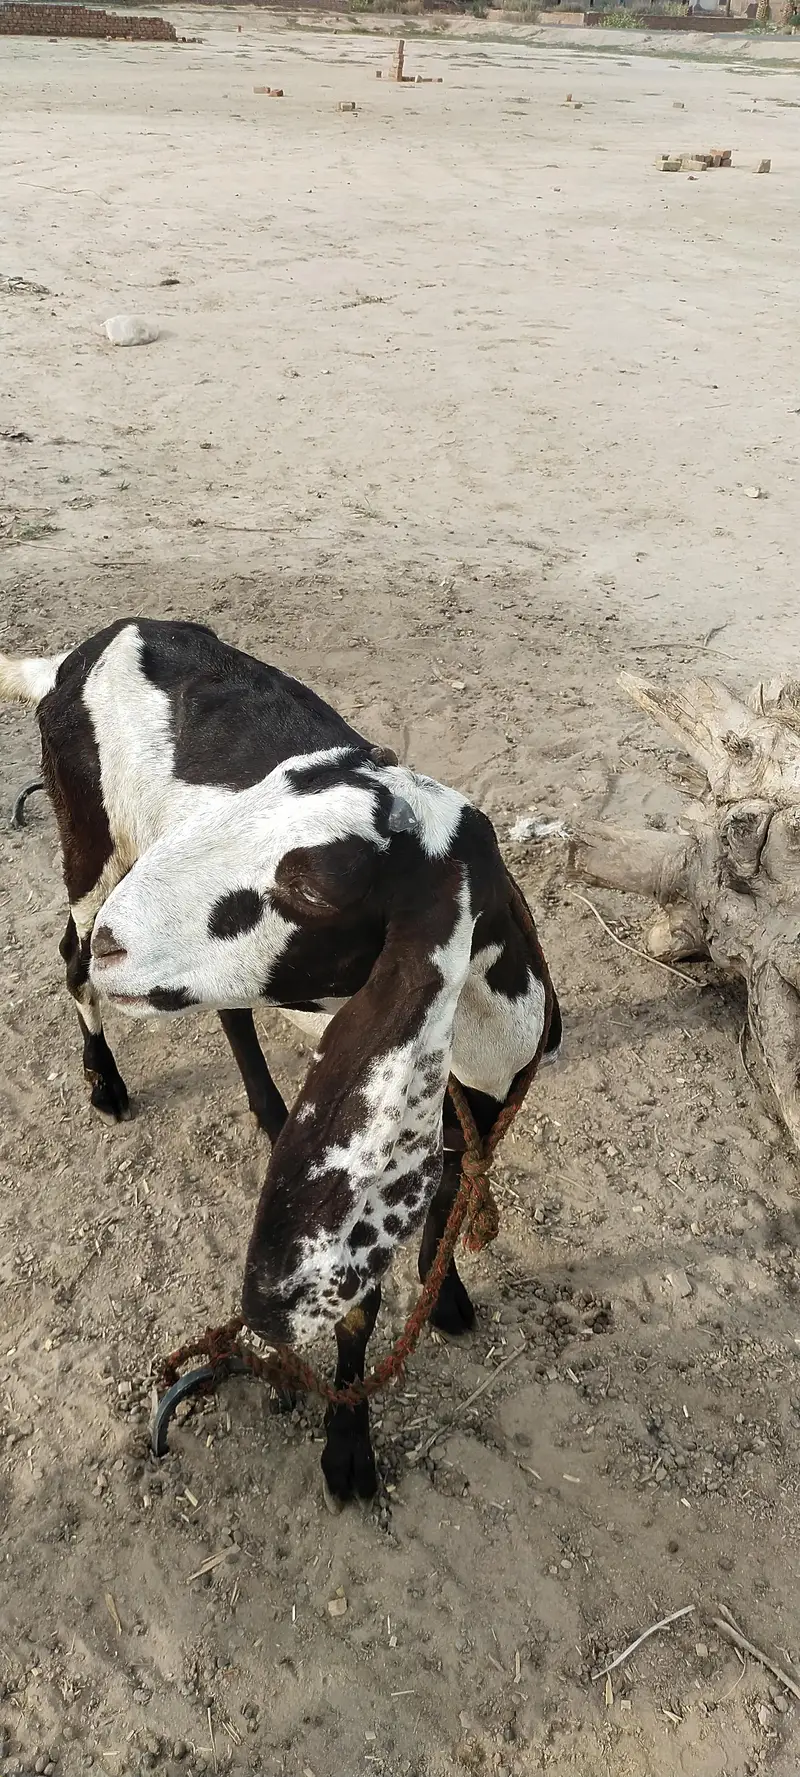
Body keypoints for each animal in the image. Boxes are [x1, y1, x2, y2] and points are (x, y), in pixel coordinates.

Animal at [1, 619, 560, 1506]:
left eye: (315, 887)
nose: (119, 941)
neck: (478, 1045)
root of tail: (73, 658)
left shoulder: (469, 1107)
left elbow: (447, 1196)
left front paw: (448, 1295)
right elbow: (358, 1301)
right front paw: (349, 1449)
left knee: (219, 1005)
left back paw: (260, 1103)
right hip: (87, 834)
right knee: (67, 950)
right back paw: (106, 1079)